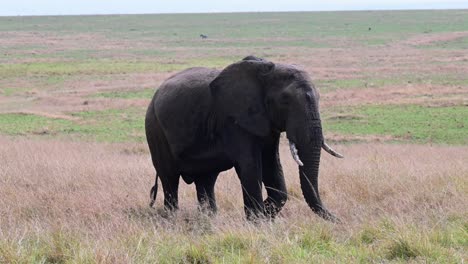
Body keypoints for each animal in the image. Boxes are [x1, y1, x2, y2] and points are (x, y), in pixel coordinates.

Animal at [146, 55, 344, 221]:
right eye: (285, 100)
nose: (338, 220)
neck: (265, 71)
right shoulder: (233, 120)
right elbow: (250, 165)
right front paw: (257, 219)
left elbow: (272, 164)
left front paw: (264, 213)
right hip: (155, 129)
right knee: (170, 178)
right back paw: (172, 218)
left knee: (206, 180)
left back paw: (209, 218)